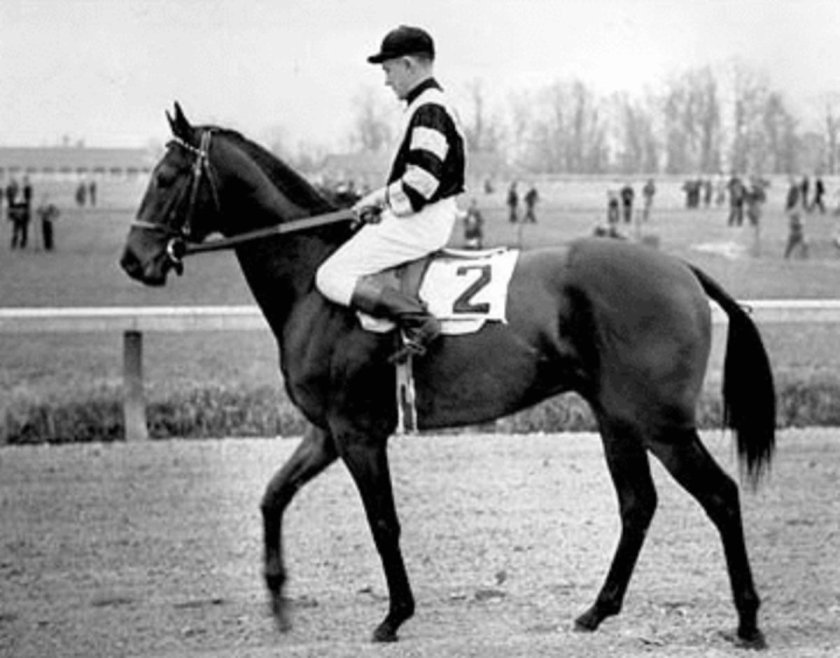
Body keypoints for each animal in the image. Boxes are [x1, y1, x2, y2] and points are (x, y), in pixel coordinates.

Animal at [120, 103, 776, 649]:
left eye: (166, 178)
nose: (134, 259)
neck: (318, 282)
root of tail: (681, 268)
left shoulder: (357, 433)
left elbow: (383, 522)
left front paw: (394, 616)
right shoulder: (326, 431)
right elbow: (273, 496)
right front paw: (279, 600)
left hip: (662, 424)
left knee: (721, 496)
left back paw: (747, 621)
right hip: (617, 418)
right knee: (638, 504)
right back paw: (597, 610)